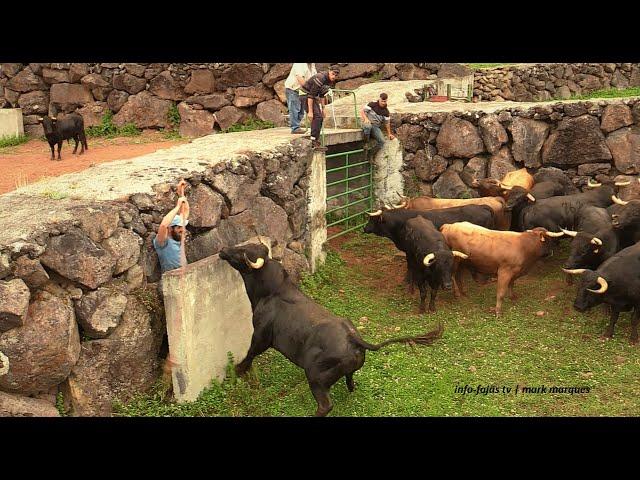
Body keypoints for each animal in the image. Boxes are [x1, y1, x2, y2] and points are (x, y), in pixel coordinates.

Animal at [218, 244, 442, 416]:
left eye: (242, 251)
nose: (222, 250)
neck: (272, 292)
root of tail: (354, 339)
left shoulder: (261, 337)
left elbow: (249, 354)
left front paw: (237, 372)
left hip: (315, 376)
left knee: (325, 405)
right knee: (351, 382)